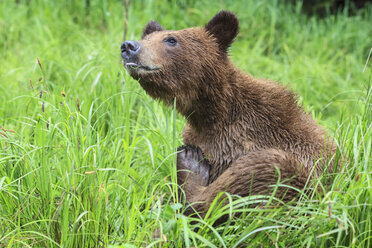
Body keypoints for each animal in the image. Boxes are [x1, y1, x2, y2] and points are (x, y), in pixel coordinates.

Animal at [120, 11, 338, 217]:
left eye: (171, 39)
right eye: (147, 37)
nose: (128, 46)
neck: (211, 115)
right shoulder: (200, 135)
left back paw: (190, 162)